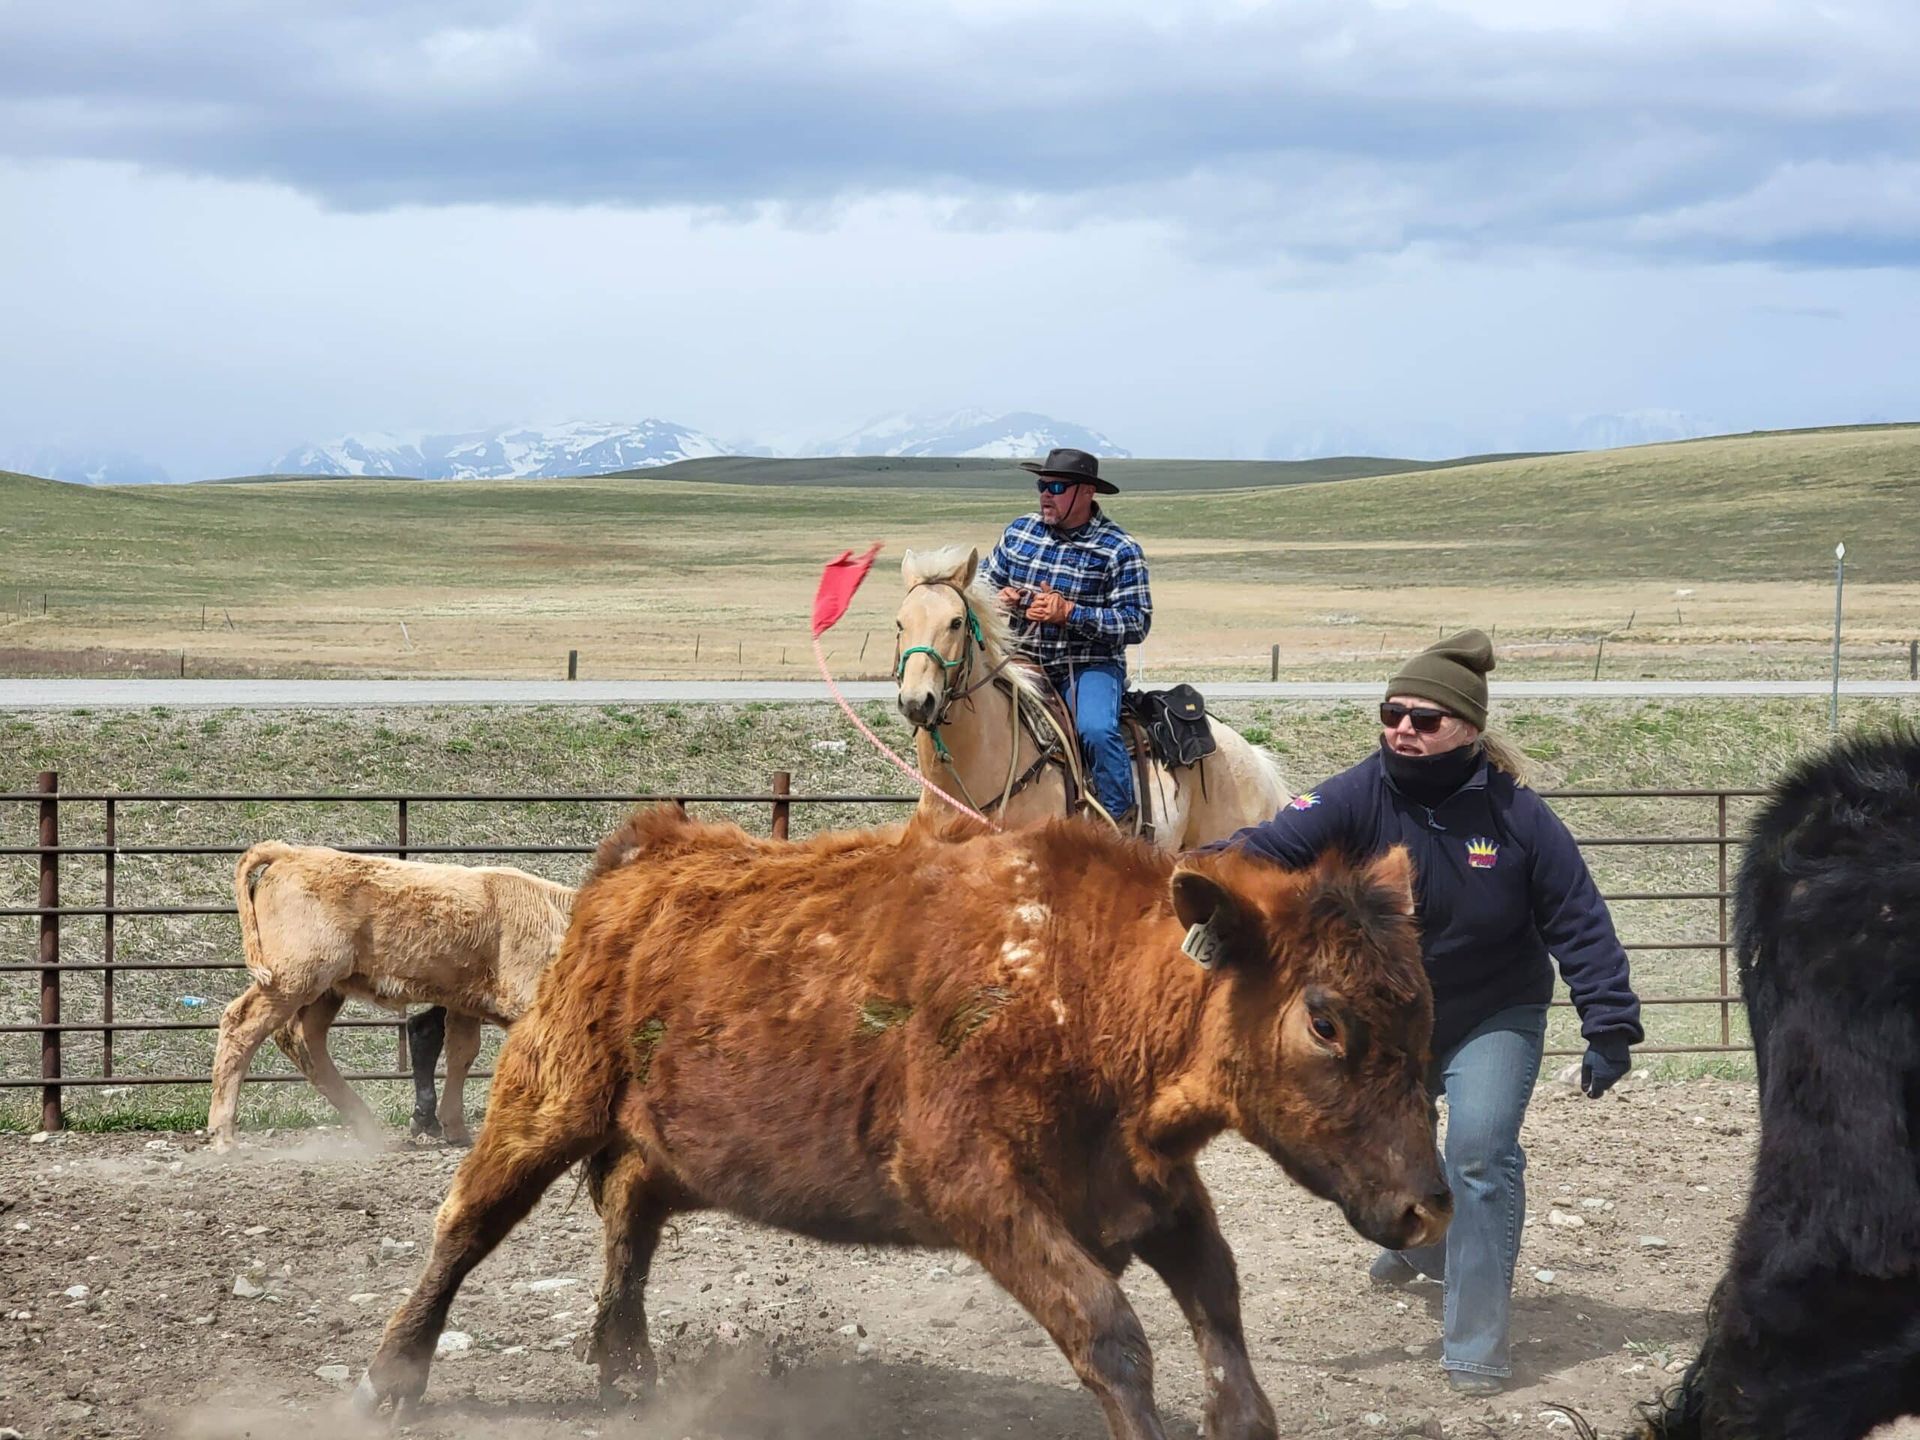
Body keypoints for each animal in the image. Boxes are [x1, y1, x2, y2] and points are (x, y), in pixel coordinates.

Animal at [209, 852, 572, 1159]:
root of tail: (290, 853)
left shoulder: (465, 1004)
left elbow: (461, 1053)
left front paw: (454, 1128)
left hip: (325, 989)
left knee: (303, 1038)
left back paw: (365, 1124)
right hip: (292, 979)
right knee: (242, 1026)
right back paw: (224, 1136)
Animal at [357, 814, 1443, 1440]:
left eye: (1425, 1005)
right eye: (1325, 1019)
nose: (1429, 1209)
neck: (1079, 979)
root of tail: (651, 854)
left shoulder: (1149, 1186)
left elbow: (1219, 1305)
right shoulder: (969, 1180)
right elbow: (1109, 1329)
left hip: (672, 1140)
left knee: (631, 1215)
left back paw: (629, 1372)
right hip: (548, 1097)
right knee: (467, 1222)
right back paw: (392, 1375)